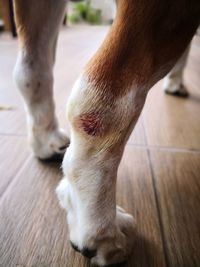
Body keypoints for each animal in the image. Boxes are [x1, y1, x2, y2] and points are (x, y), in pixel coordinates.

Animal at [12, 1, 200, 266]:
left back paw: (46, 142)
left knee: (30, 72)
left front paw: (176, 81)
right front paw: (175, 82)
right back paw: (101, 233)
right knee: (101, 105)